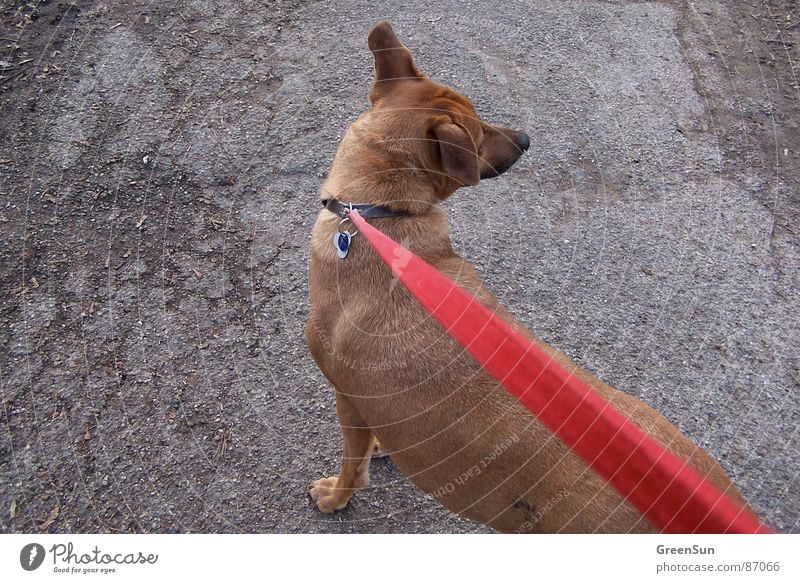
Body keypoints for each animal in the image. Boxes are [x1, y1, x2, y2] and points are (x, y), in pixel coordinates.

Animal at [306, 21, 752, 532]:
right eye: (480, 131)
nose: (525, 139)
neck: (380, 215)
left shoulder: (345, 396)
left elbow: (352, 466)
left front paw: (336, 496)